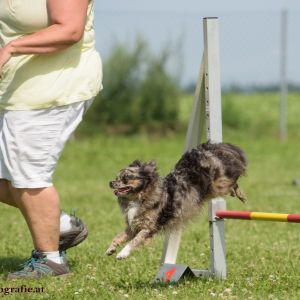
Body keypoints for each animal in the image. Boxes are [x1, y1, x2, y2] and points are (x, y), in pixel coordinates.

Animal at [105, 142, 246, 258]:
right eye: (116, 177)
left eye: (125, 178)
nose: (110, 182)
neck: (139, 197)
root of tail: (204, 151)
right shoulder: (134, 226)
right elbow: (118, 237)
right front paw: (110, 249)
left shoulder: (149, 228)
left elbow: (134, 241)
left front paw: (122, 253)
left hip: (218, 184)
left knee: (234, 178)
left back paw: (240, 194)